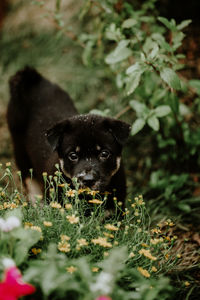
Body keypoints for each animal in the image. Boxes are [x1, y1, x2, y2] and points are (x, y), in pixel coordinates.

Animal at [6, 67, 130, 209]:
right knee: (29, 180)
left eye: (104, 153)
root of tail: (31, 80)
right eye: (73, 155)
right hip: (20, 148)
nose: (88, 180)